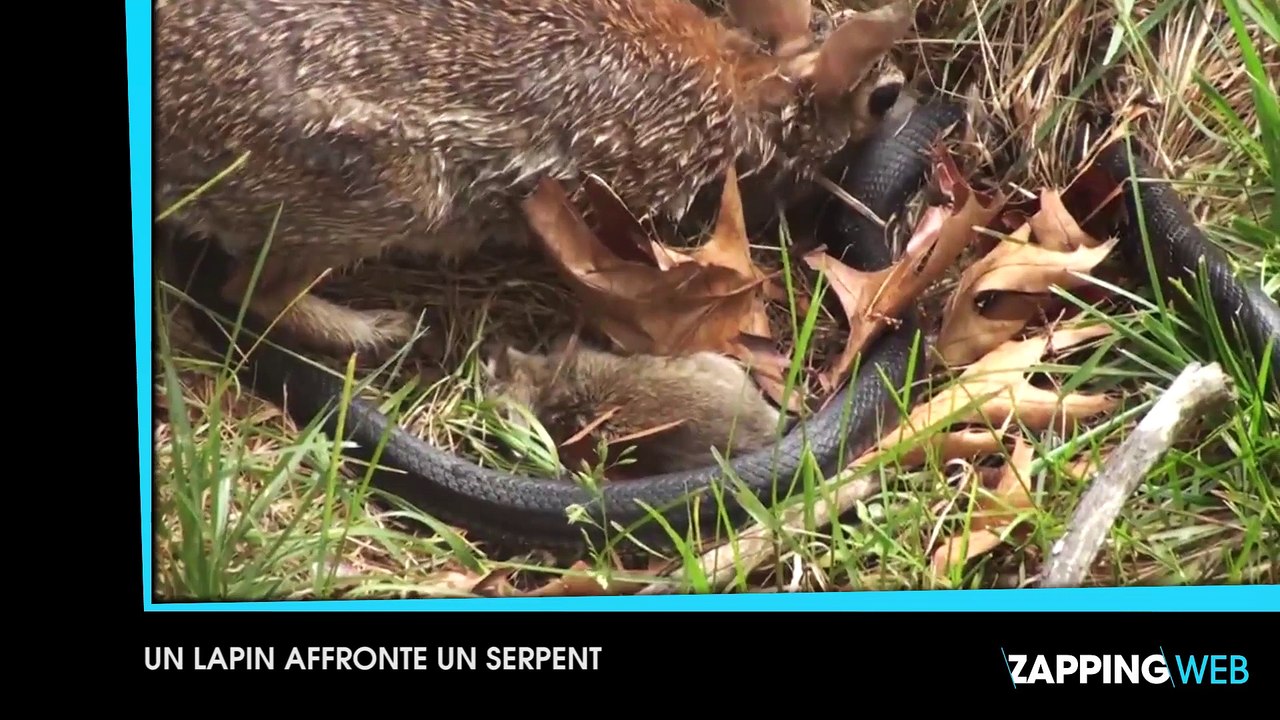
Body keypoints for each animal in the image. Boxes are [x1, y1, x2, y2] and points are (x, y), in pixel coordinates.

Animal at [155, 0, 916, 359]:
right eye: (881, 98)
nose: (908, 106)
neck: (747, 89)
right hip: (390, 195)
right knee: (255, 291)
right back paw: (381, 331)